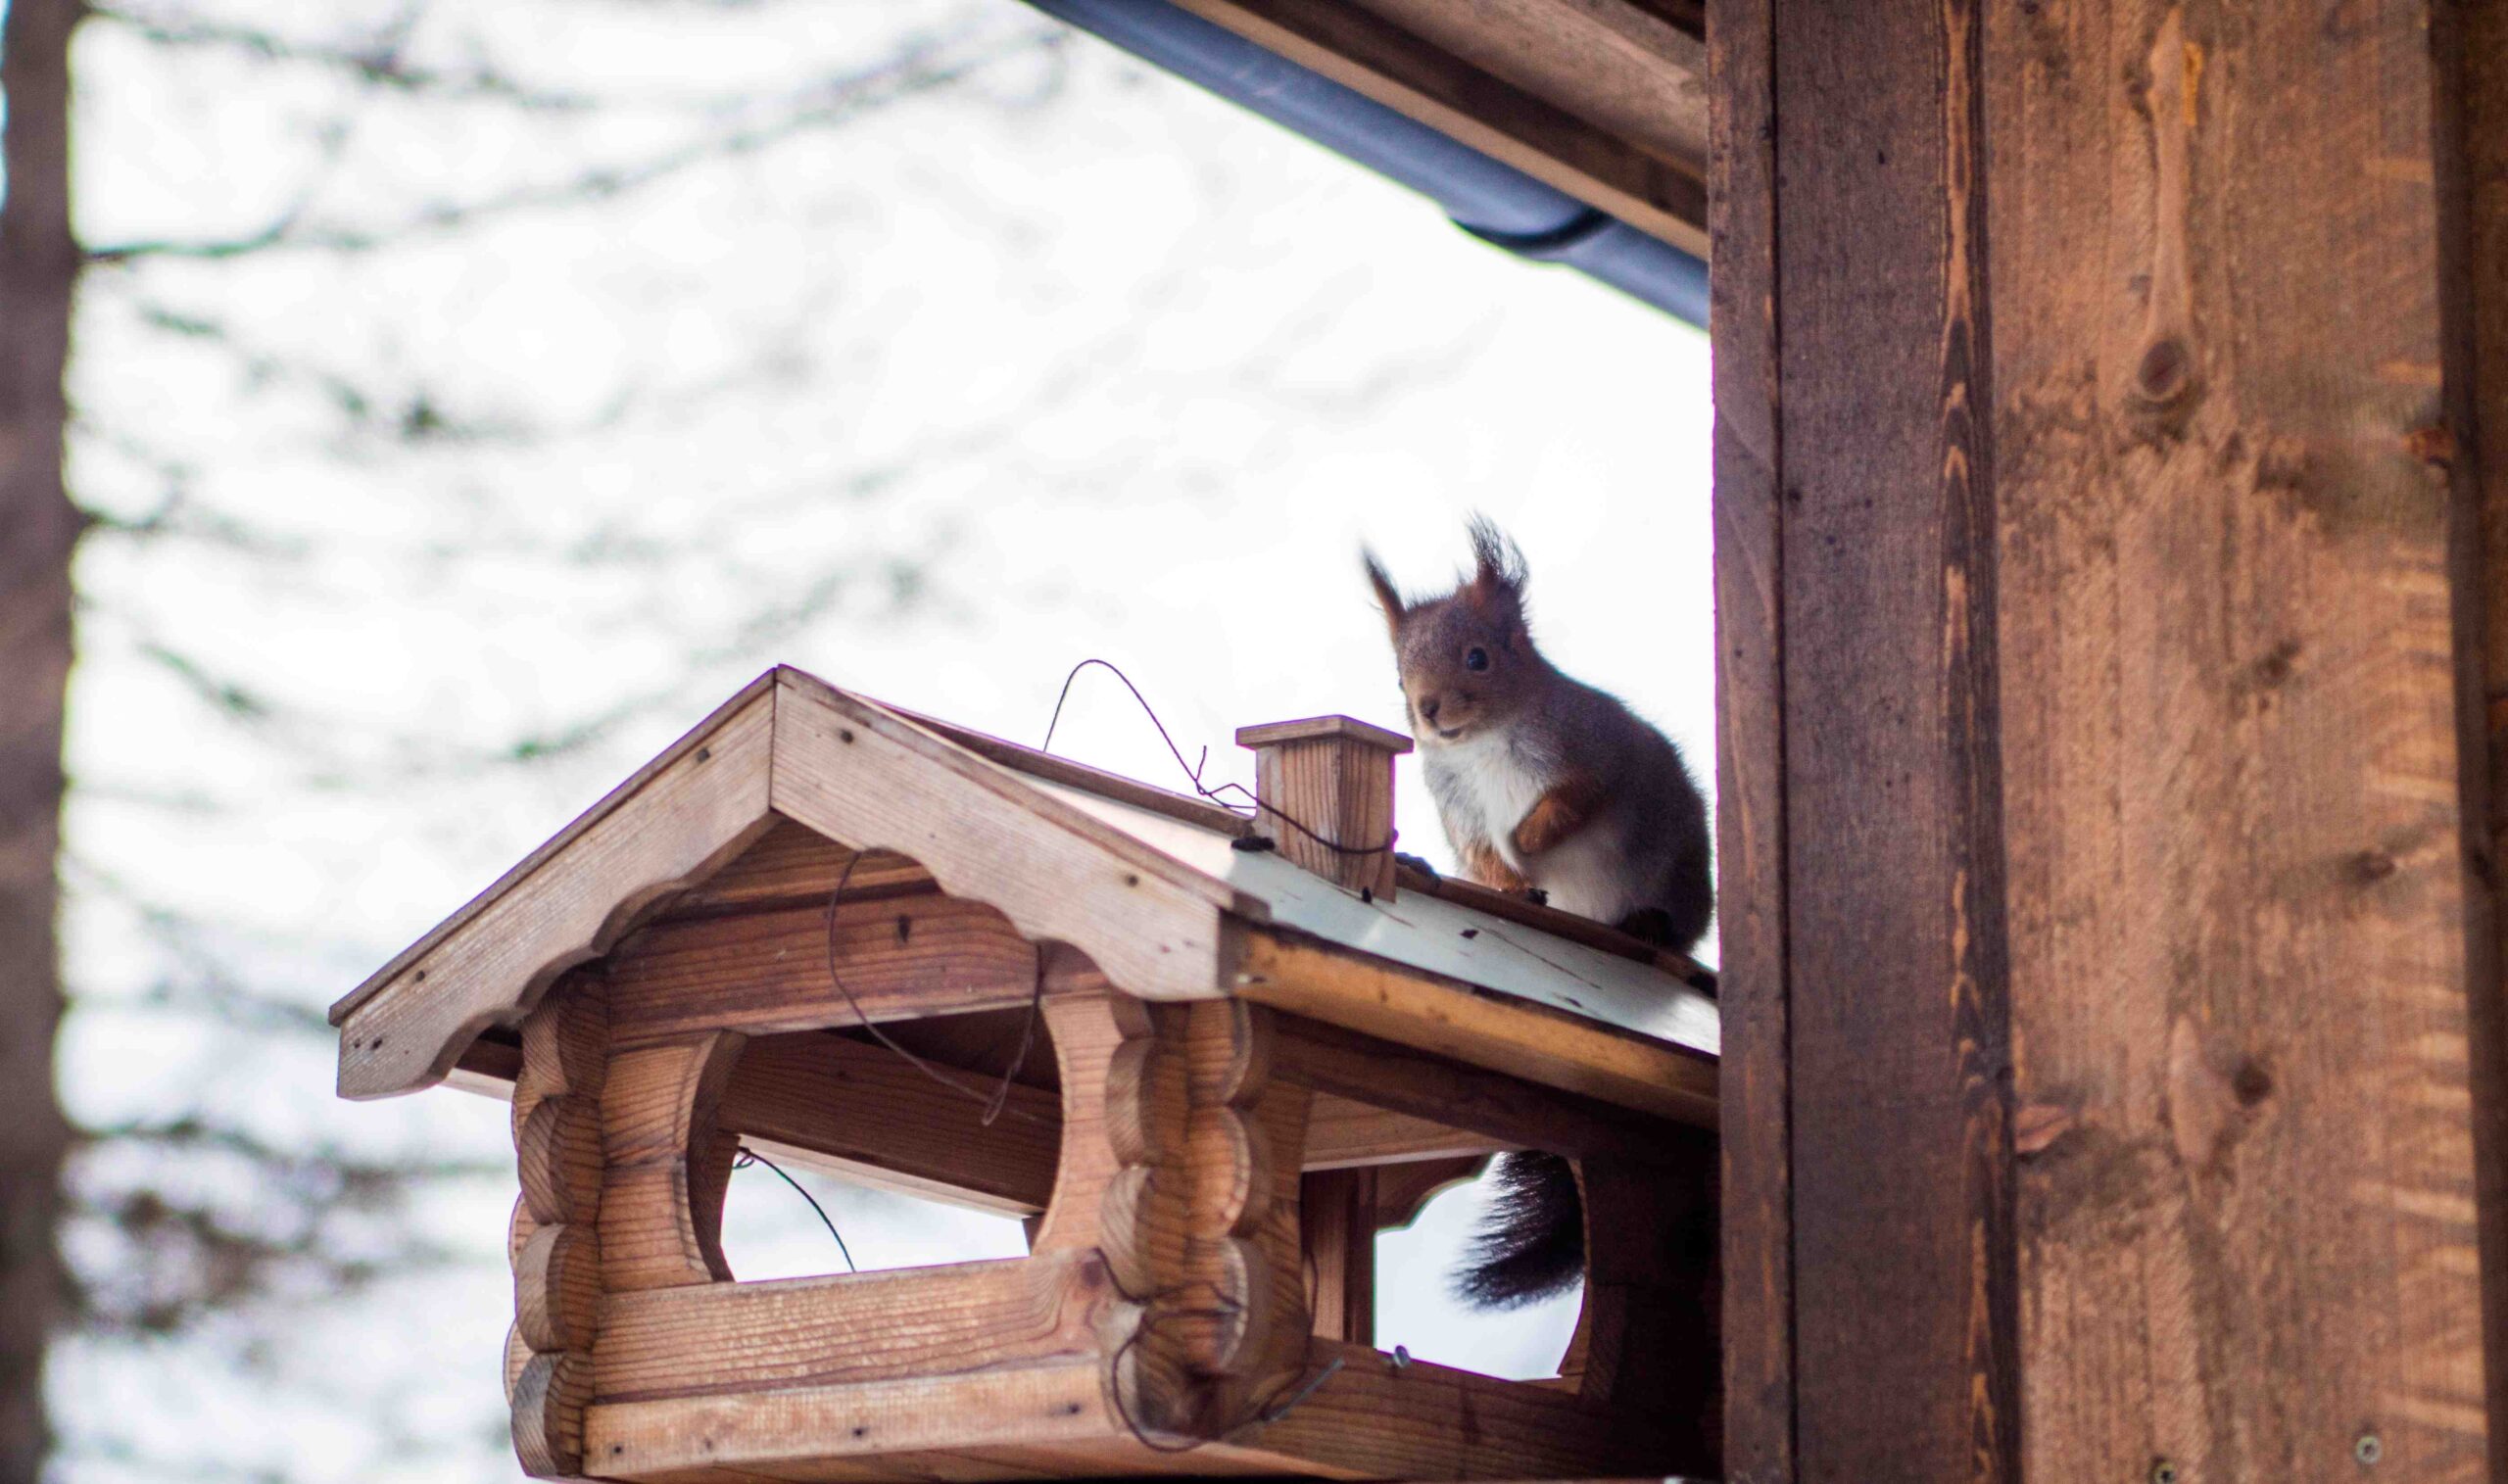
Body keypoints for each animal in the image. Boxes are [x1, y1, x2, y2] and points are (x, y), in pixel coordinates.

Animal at [1363, 517, 1713, 1309]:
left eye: (1479, 657)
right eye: (1397, 677)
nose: (1429, 710)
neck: (1484, 742)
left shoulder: (1593, 754)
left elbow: (1570, 805)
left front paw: (1527, 843)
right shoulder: (1458, 809)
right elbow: (1481, 856)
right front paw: (1510, 882)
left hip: (1676, 867)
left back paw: (1647, 925)